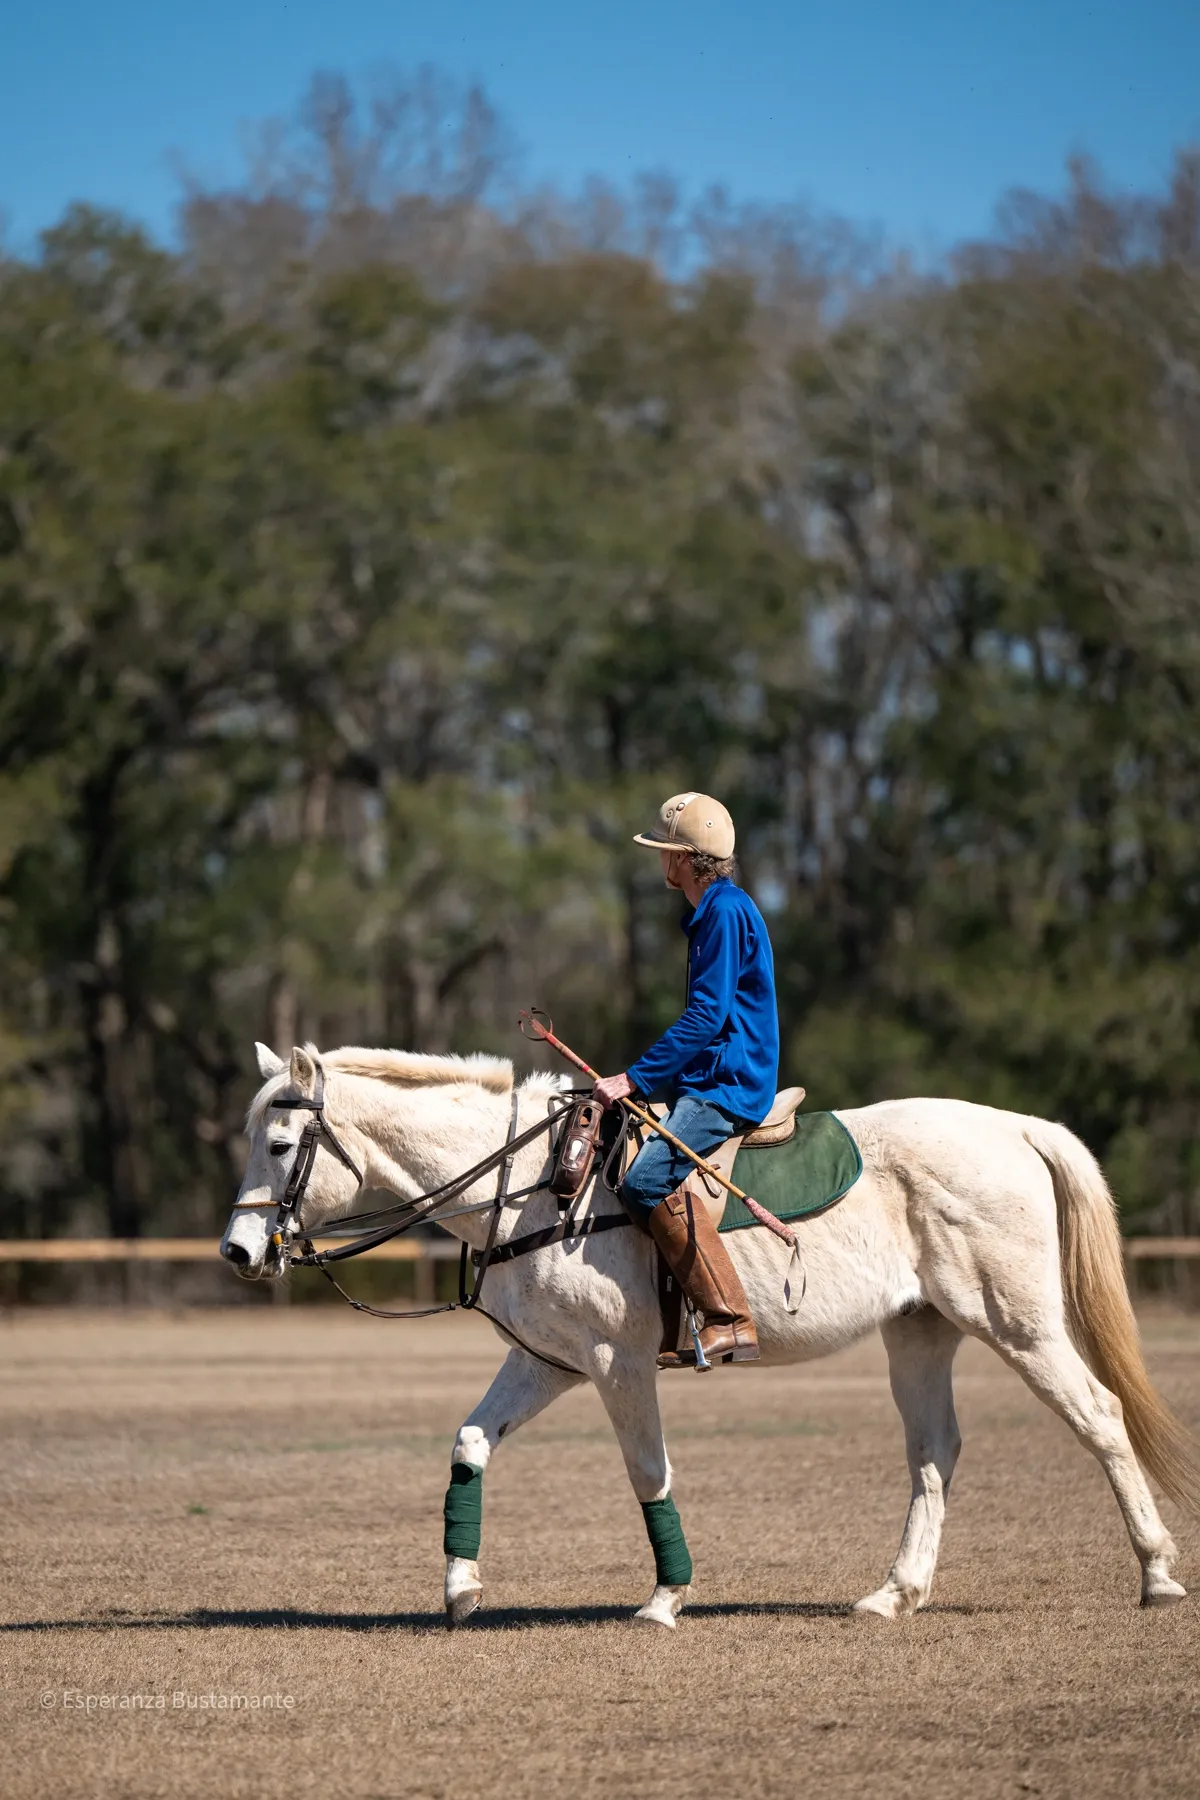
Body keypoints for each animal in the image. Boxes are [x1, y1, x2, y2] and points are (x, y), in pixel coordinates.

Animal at [220, 1040, 1200, 1628]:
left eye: (279, 1145)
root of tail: (1020, 1127)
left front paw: (666, 1596)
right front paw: (461, 1590)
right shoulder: (547, 1361)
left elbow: (648, 1473)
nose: (238, 1251)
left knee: (1100, 1416)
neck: (538, 1182)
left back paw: (1156, 1575)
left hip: (1016, 1322)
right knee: (935, 1452)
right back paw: (894, 1593)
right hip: (920, 1331)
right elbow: (469, 1442)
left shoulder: (614, 1363)